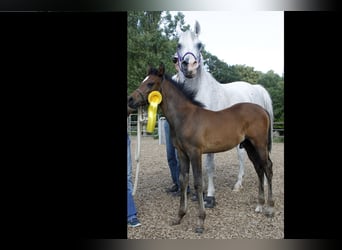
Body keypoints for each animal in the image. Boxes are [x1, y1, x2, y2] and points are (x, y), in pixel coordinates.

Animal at [127, 63, 274, 233]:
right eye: (143, 81)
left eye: (150, 83)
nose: (130, 99)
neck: (186, 117)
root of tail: (262, 110)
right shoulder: (182, 153)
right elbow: (183, 180)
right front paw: (179, 217)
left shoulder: (195, 152)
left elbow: (198, 183)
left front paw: (201, 222)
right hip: (250, 146)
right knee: (259, 169)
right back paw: (259, 205)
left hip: (260, 144)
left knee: (267, 167)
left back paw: (270, 208)